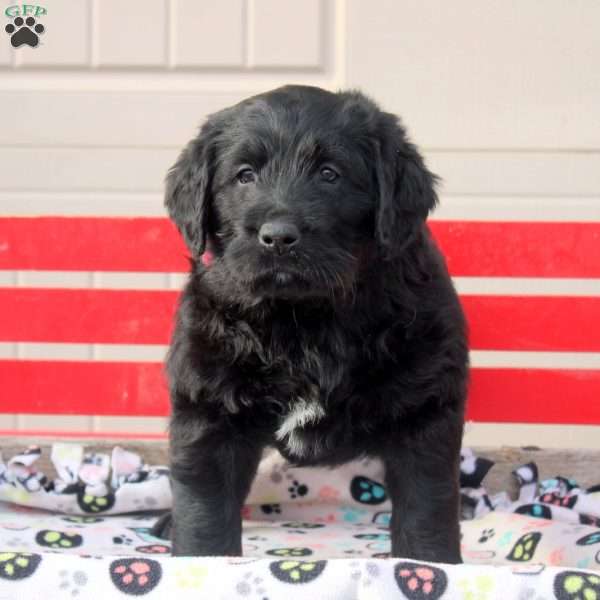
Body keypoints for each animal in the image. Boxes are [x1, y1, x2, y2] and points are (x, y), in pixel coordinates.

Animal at [154, 85, 468, 564]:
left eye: (329, 173)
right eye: (245, 175)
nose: (279, 238)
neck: (303, 320)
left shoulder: (426, 411)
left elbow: (426, 510)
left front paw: (429, 568)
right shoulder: (207, 407)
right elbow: (204, 514)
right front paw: (202, 565)